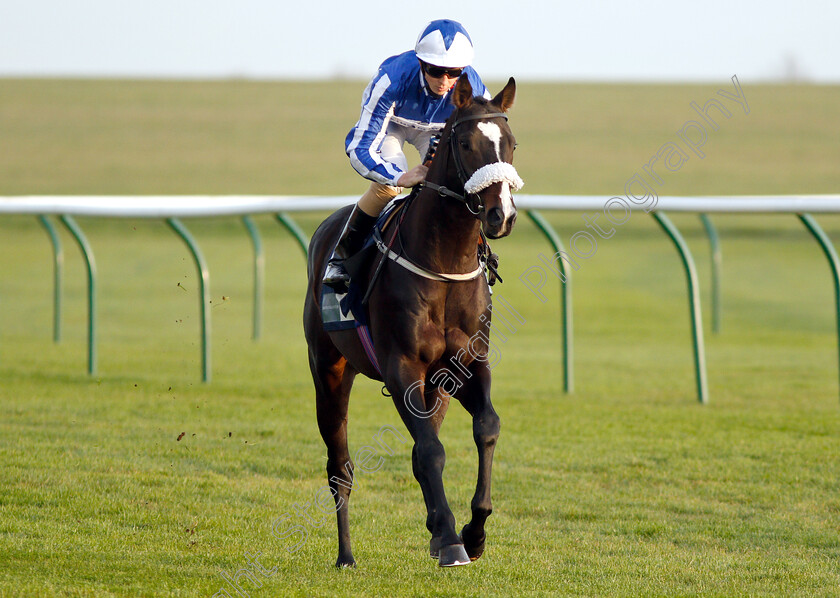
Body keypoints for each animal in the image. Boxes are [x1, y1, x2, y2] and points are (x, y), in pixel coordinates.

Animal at [306, 77, 520, 568]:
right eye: (466, 143)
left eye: (512, 143)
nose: (501, 215)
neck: (444, 264)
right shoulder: (401, 367)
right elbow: (430, 451)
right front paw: (451, 540)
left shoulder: (464, 366)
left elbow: (486, 428)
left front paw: (472, 532)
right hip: (328, 371)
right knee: (340, 467)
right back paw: (346, 555)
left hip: (435, 386)